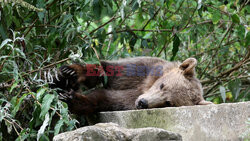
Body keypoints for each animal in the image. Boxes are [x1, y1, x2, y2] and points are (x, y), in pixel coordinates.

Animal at [51, 56, 213, 115]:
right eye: (162, 85)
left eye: (169, 103)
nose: (142, 102)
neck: (146, 86)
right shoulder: (143, 69)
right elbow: (110, 72)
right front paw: (72, 71)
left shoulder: (129, 100)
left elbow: (105, 99)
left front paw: (73, 99)